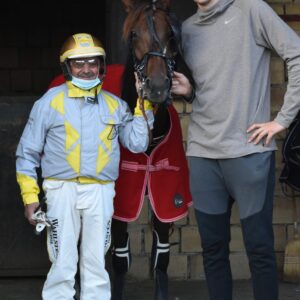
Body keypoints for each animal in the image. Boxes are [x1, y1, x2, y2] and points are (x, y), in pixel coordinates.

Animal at [112, 0, 192, 300]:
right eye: (134, 34)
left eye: (171, 34)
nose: (157, 87)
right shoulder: (120, 204)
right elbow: (120, 258)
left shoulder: (166, 196)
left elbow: (161, 256)